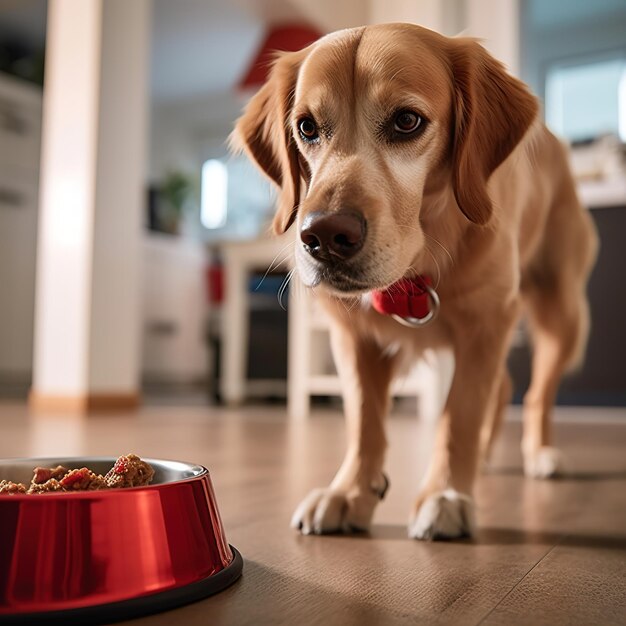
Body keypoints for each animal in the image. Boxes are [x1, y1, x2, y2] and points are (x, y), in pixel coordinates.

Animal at [232, 23, 596, 536]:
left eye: (407, 121)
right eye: (306, 127)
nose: (323, 237)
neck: (422, 258)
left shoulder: (486, 321)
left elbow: (459, 414)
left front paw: (445, 494)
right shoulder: (352, 333)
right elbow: (364, 418)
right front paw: (349, 492)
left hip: (561, 313)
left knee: (538, 392)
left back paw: (539, 453)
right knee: (504, 385)